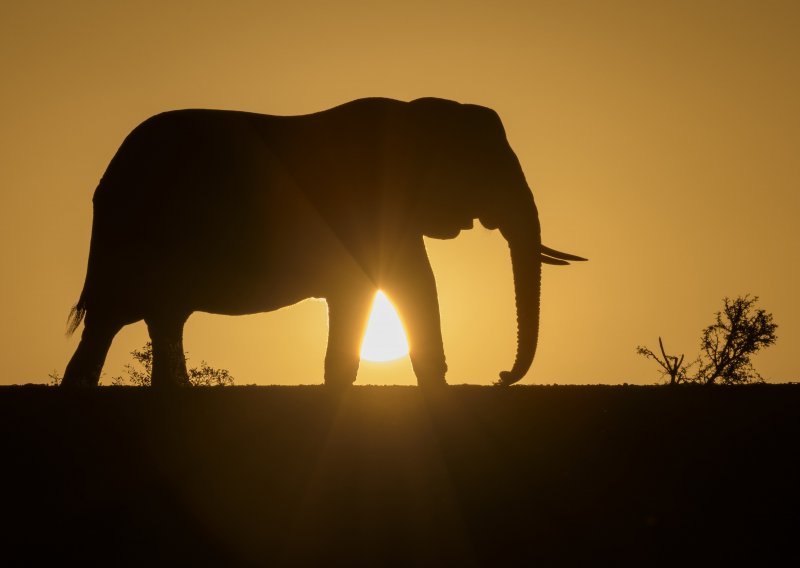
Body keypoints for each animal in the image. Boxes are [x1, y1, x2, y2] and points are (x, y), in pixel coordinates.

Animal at [62, 97, 584, 390]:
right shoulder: (365, 206)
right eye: (486, 170)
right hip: (138, 231)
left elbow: (408, 285)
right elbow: (403, 286)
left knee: (150, 319)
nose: (500, 377)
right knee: (119, 318)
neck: (417, 113)